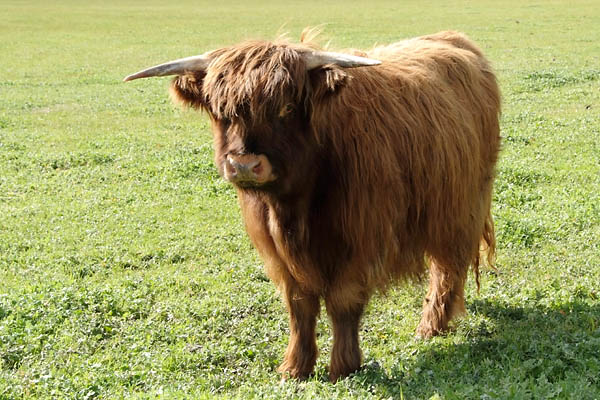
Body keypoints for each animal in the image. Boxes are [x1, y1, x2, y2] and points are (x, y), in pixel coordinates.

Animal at [125, 31, 502, 382]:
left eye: (286, 109)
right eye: (221, 112)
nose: (244, 165)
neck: (297, 207)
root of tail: (453, 39)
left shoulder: (358, 241)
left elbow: (342, 302)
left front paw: (343, 367)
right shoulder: (278, 251)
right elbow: (299, 306)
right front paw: (295, 367)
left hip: (459, 207)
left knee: (447, 266)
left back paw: (431, 326)